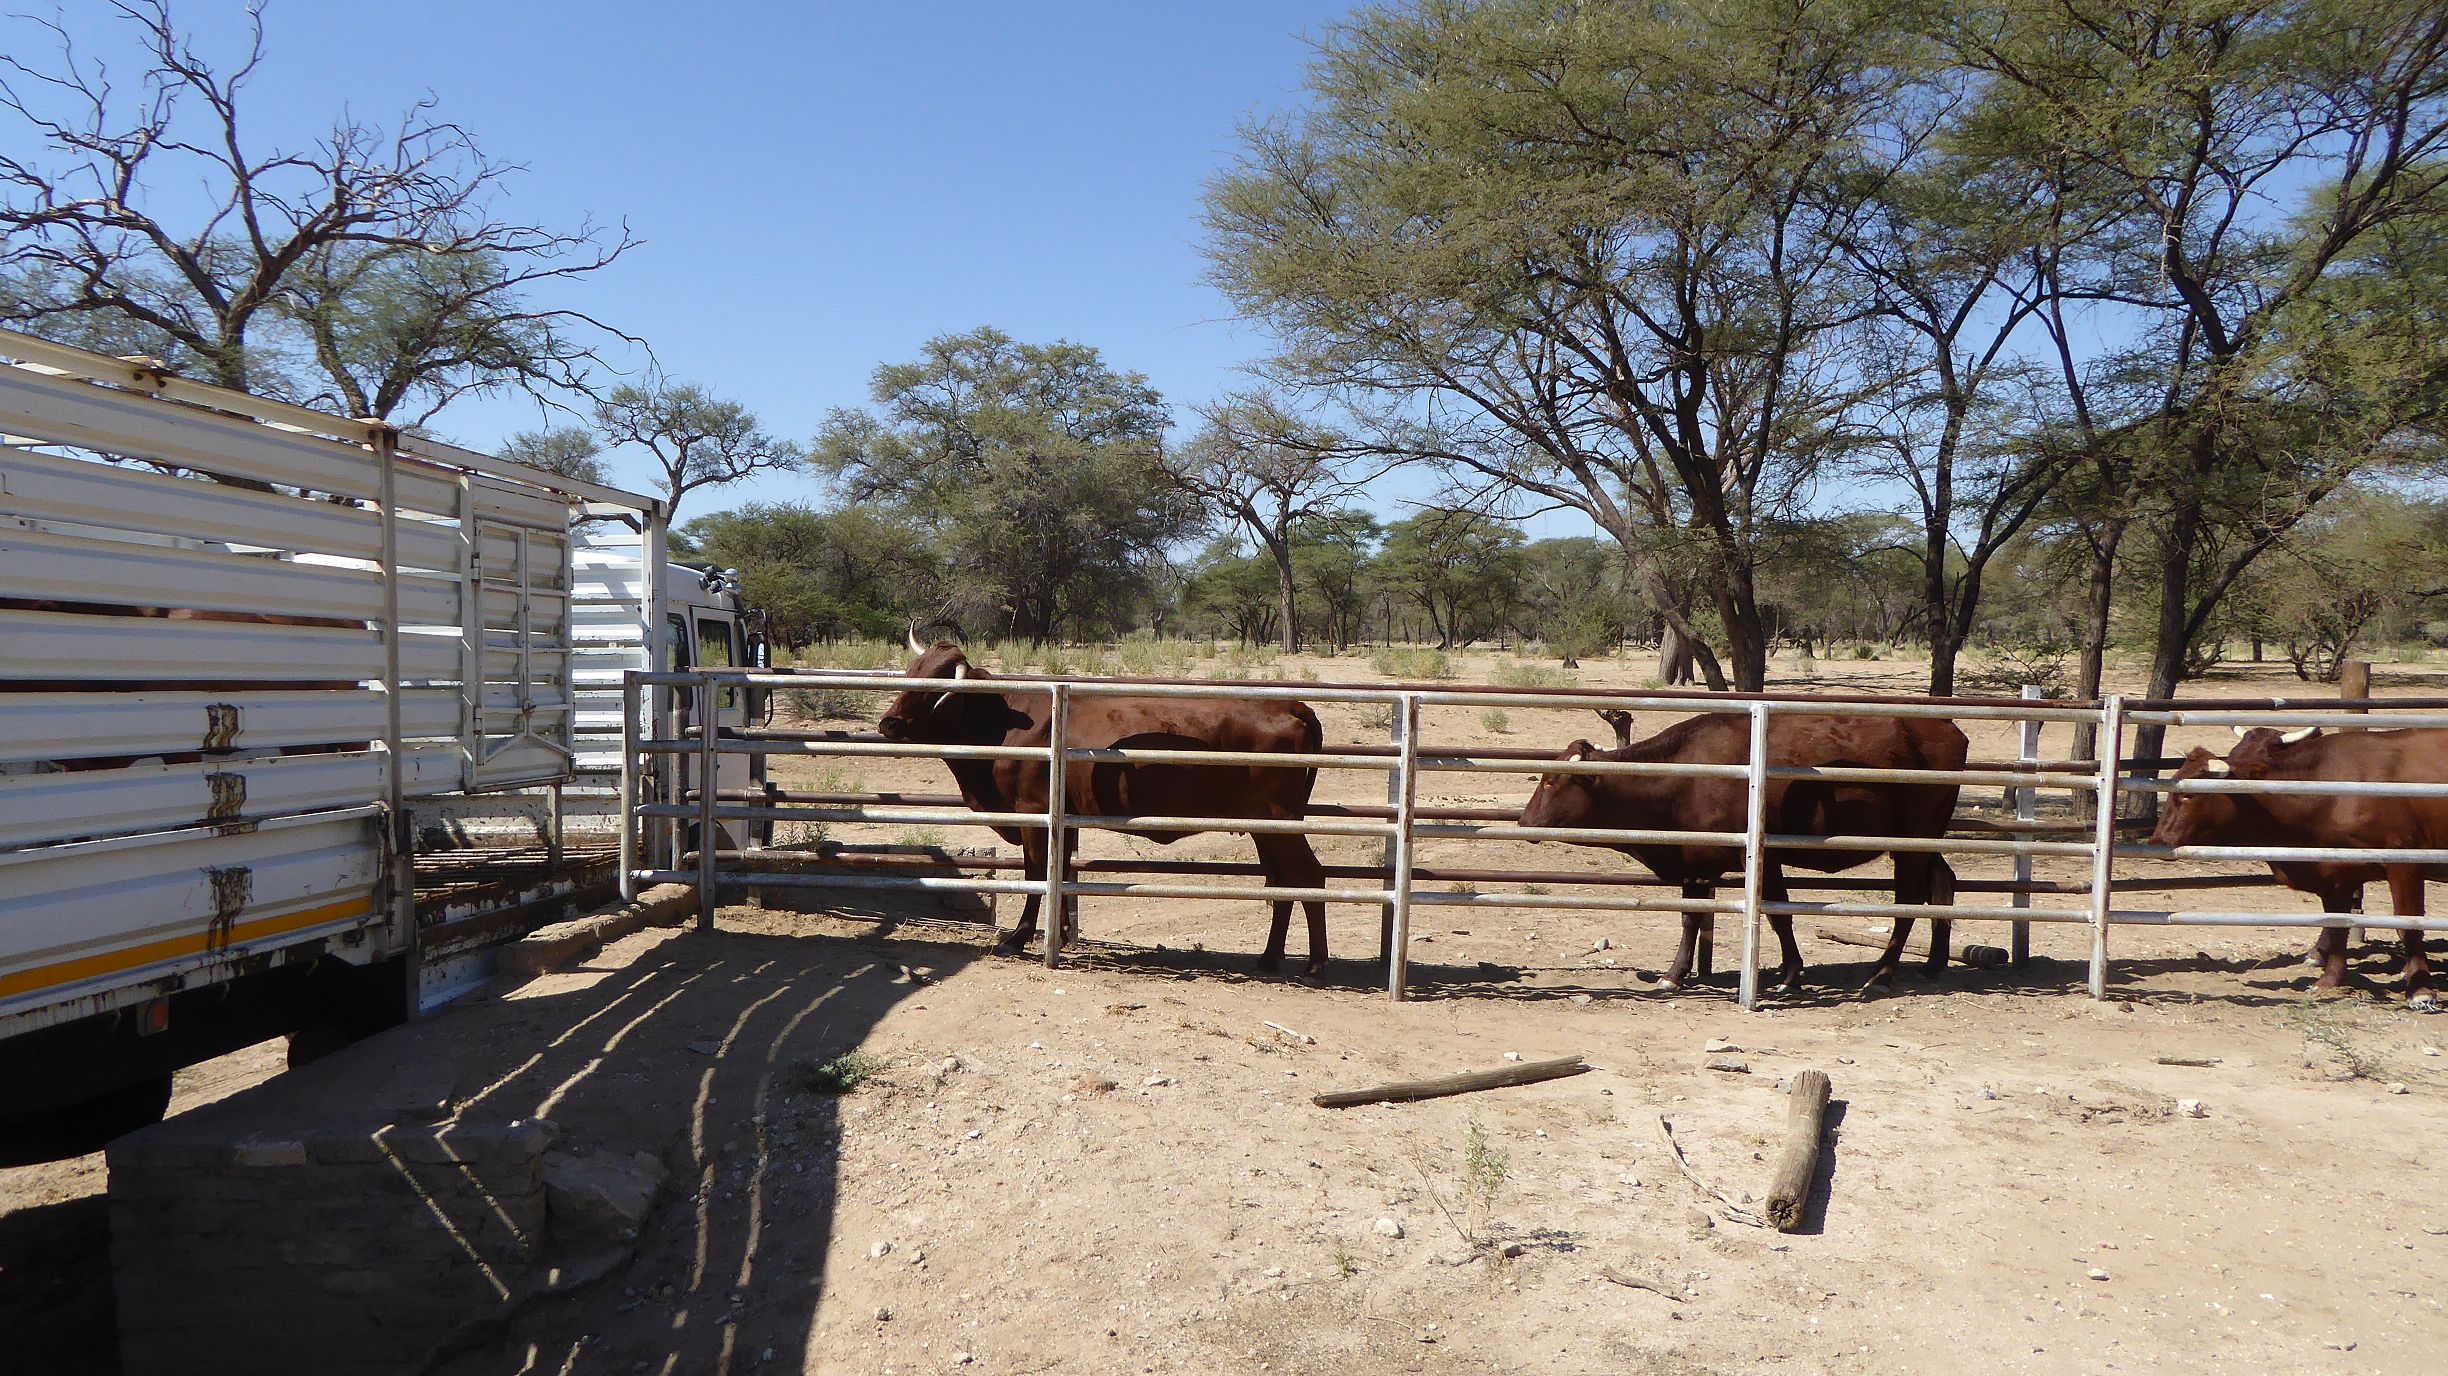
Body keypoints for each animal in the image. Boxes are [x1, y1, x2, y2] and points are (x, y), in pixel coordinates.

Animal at [881, 636, 1331, 969]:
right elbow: (1061, 872)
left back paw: (1315, 964)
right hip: (1264, 827)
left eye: (937, 689)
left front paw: (1018, 938)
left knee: (1309, 875)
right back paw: (1270, 957)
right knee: (1282, 882)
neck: (1002, 723)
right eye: (911, 674)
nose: (889, 723)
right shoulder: (1062, 818)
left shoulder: (1034, 814)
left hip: (1279, 820)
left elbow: (1037, 874)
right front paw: (1061, 934)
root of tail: (1291, 704)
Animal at [1517, 710, 1958, 989]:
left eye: (1552, 781)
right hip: (1927, 841)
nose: (1523, 822)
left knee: (1909, 898)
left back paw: (1882, 973)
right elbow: (1766, 915)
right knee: (1943, 882)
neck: (1680, 778)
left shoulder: (1719, 865)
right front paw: (1787, 971)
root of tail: (1945, 729)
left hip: (1911, 843)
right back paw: (1933, 964)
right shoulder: (1721, 863)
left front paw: (1675, 976)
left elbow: (1707, 918)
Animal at [2154, 724, 2438, 1003]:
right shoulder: (2335, 873)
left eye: (2189, 795)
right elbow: (2338, 922)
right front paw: (2329, 980)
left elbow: (2409, 925)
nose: (2157, 839)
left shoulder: (2405, 864)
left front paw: (2420, 988)